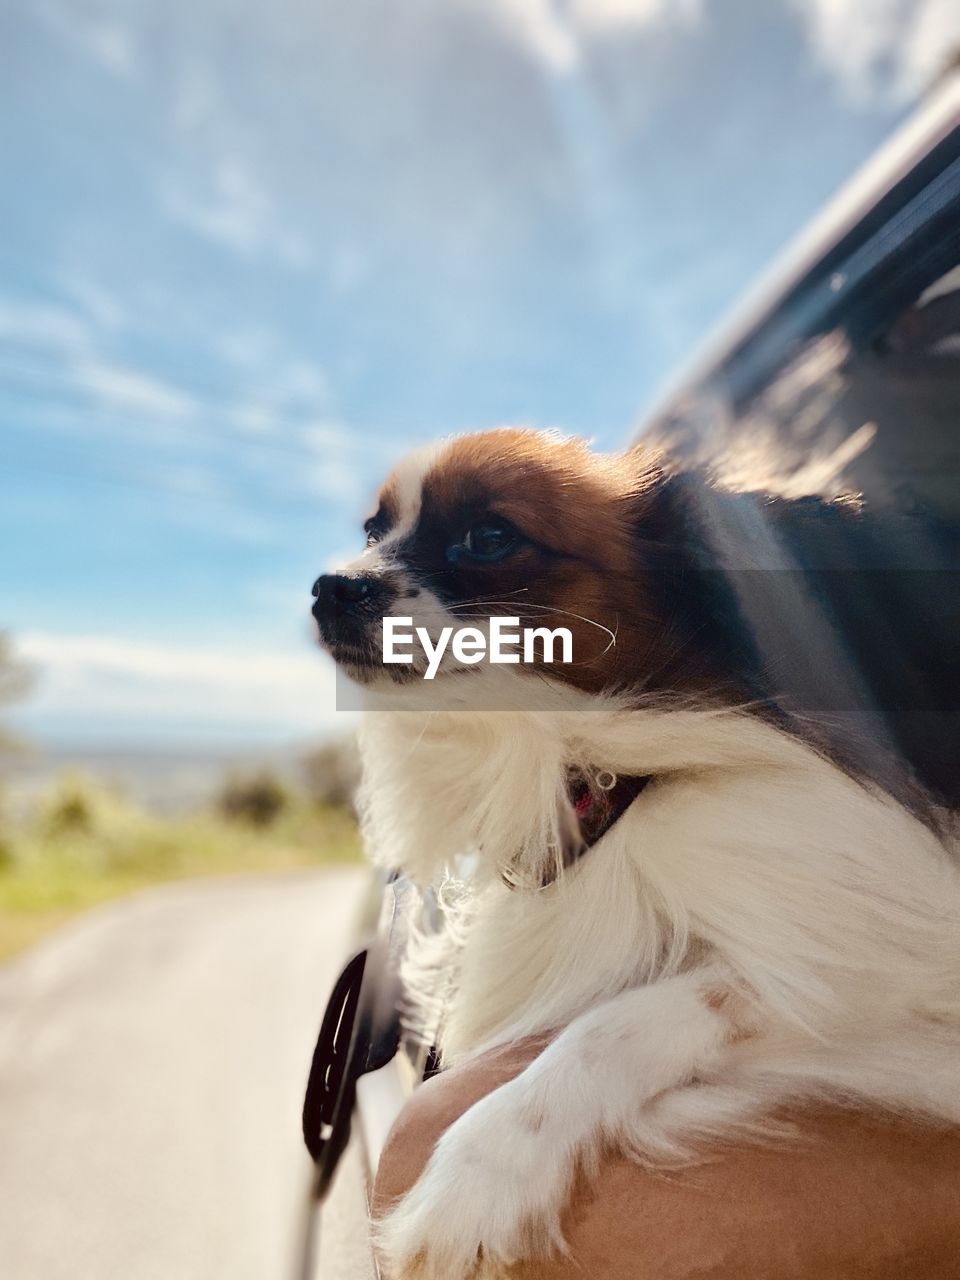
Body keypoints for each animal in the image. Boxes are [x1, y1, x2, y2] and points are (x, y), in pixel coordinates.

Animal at [312, 430, 957, 1280]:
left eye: (489, 537)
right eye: (371, 531)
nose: (329, 587)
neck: (601, 777)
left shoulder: (863, 968)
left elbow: (624, 1020)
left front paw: (482, 1169)